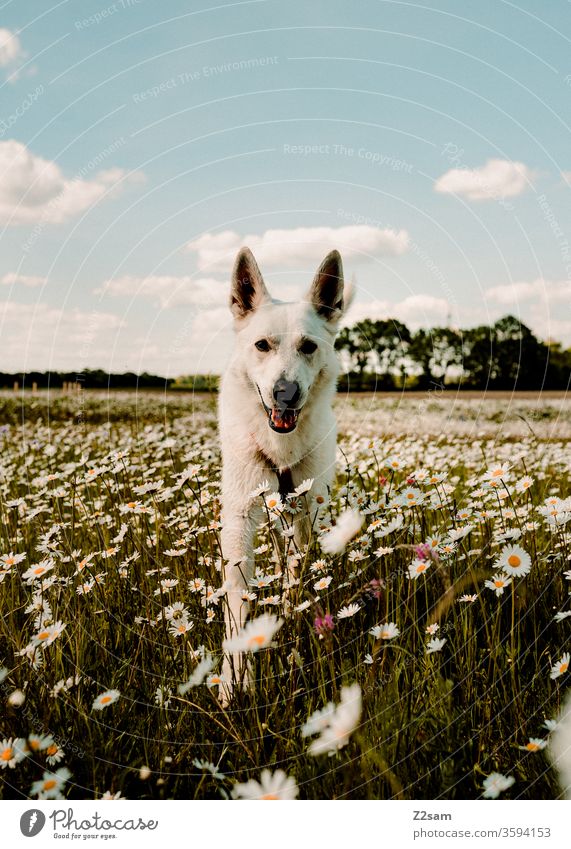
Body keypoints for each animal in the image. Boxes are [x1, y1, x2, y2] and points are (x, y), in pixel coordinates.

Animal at [218, 243, 344, 696]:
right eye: (262, 345)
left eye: (308, 346)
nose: (285, 393)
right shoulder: (240, 516)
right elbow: (237, 598)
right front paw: (234, 680)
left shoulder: (307, 514)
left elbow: (296, 581)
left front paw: (288, 635)